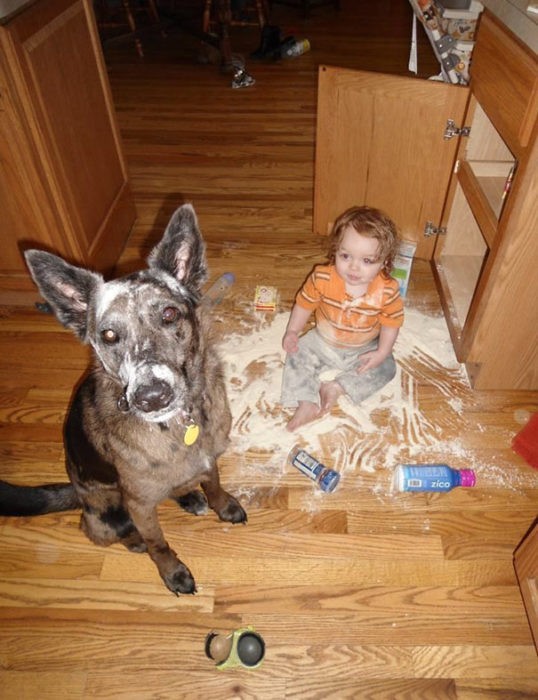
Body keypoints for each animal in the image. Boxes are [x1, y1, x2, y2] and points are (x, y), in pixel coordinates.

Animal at [0, 204, 246, 596]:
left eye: (169, 314)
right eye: (109, 335)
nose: (152, 396)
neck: (178, 427)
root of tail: (78, 493)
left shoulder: (209, 459)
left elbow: (213, 482)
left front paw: (221, 504)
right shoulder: (140, 505)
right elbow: (159, 543)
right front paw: (172, 571)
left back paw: (188, 496)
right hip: (110, 514)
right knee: (102, 531)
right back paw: (135, 539)